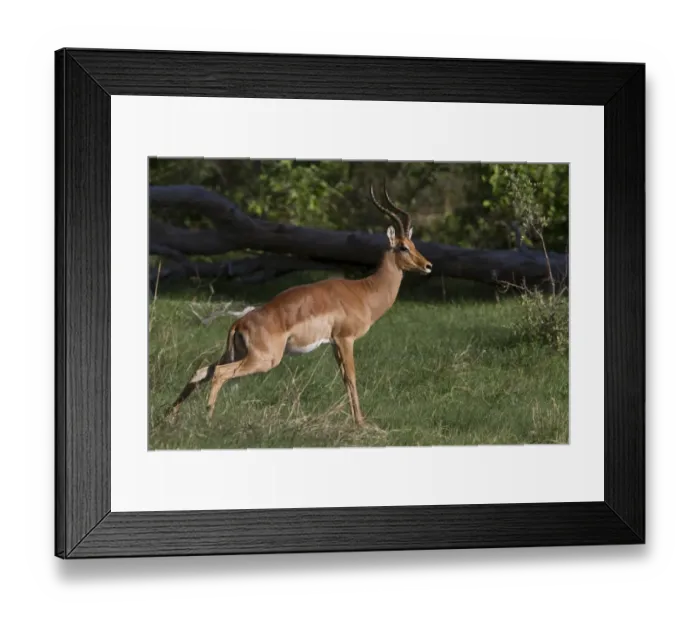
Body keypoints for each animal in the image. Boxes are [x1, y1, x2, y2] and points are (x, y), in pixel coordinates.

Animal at [168, 183, 433, 427]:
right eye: (403, 246)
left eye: (414, 244)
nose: (428, 266)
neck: (364, 292)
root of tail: (240, 322)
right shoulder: (345, 339)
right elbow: (352, 377)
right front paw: (361, 422)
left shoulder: (334, 343)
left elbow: (344, 378)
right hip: (264, 360)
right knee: (220, 374)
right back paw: (208, 418)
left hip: (235, 354)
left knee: (202, 371)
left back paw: (170, 416)